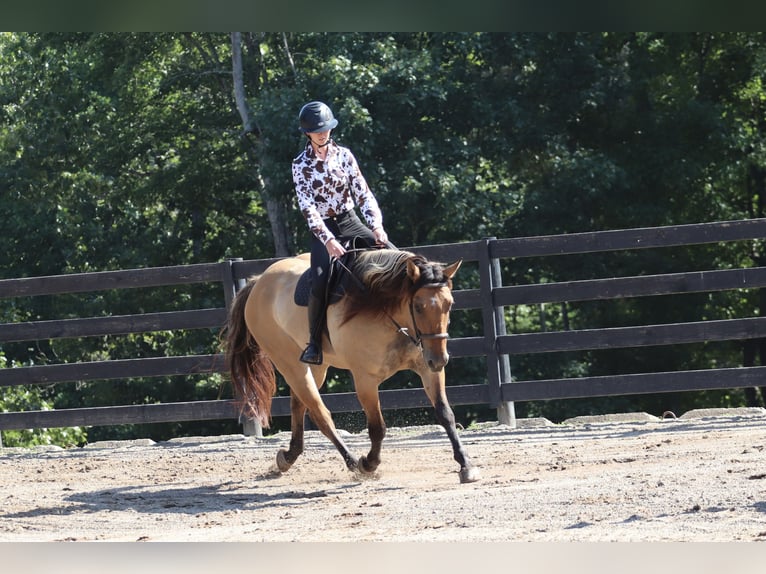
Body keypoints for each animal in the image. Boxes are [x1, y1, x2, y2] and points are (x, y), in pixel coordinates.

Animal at [225, 249, 484, 486]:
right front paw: (369, 464)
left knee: (300, 405)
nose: (440, 359)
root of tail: (259, 282)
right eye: (418, 307)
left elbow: (446, 414)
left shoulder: (427, 369)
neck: (386, 310)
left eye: (449, 304)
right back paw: (351, 462)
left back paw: (288, 457)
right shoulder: (365, 379)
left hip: (315, 367)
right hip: (288, 363)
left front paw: (466, 465)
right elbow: (377, 428)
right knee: (321, 414)